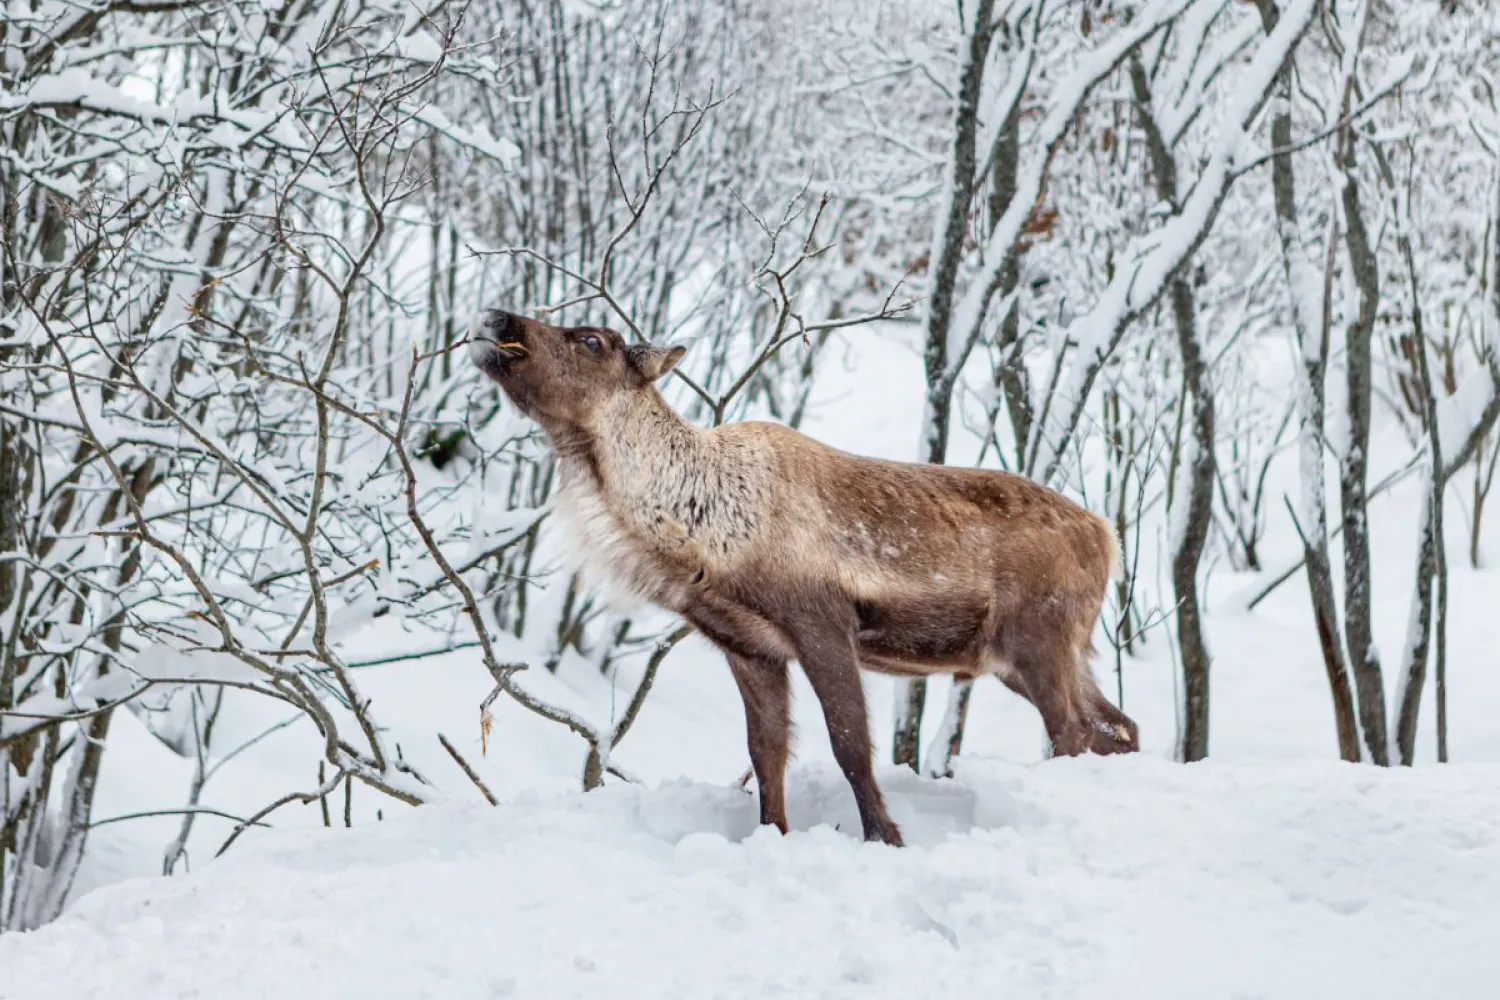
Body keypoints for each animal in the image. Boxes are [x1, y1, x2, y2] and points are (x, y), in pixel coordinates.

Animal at [470, 310, 1138, 846]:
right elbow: (766, 753)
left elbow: (850, 745)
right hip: (1031, 655)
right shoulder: (750, 646)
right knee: (1118, 726)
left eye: (592, 340)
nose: (500, 318)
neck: (704, 532)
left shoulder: (822, 624)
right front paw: (773, 834)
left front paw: (886, 838)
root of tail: (1108, 534)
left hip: (1040, 638)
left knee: (1074, 730)